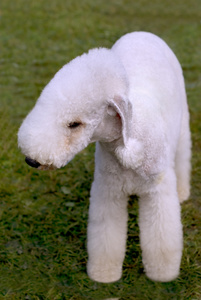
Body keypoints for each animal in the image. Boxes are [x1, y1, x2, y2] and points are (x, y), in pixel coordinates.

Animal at [18, 31, 191, 282]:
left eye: (75, 124)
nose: (31, 161)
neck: (128, 145)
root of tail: (142, 33)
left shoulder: (157, 193)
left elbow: (161, 238)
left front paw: (162, 274)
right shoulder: (108, 192)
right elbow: (106, 237)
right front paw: (103, 274)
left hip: (183, 124)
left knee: (182, 156)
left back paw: (183, 192)